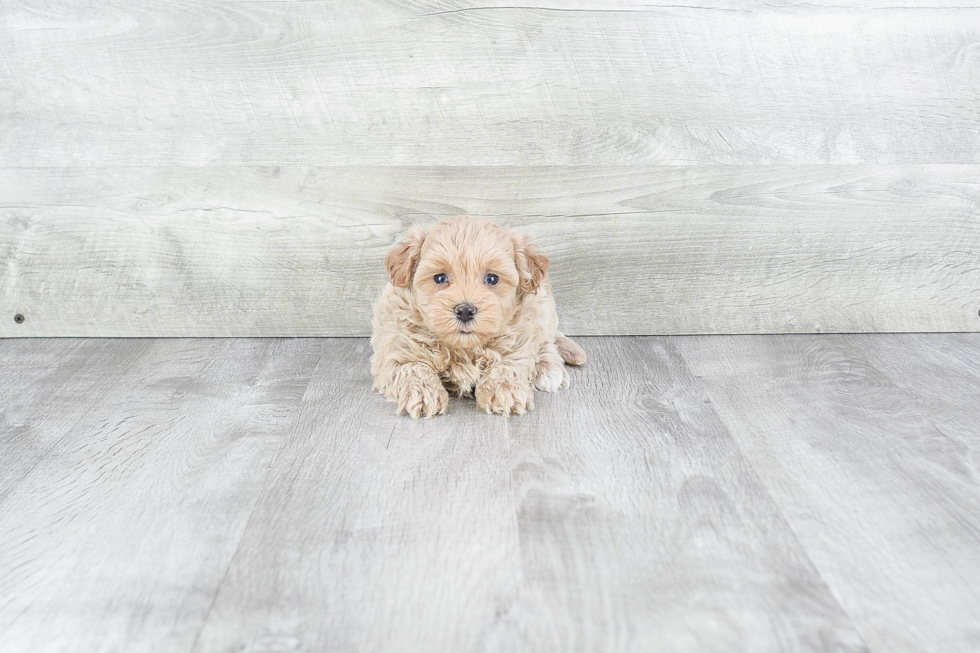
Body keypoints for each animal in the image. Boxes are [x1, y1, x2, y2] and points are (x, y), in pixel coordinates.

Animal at [372, 215, 584, 418]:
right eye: (439, 278)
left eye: (492, 278)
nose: (465, 310)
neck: (464, 347)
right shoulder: (396, 351)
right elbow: (414, 368)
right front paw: (424, 394)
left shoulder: (518, 338)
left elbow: (507, 365)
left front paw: (506, 391)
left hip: (543, 305)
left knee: (547, 341)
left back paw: (549, 370)